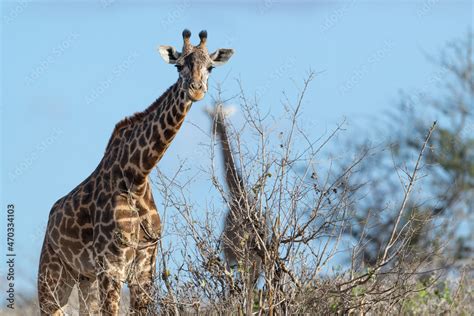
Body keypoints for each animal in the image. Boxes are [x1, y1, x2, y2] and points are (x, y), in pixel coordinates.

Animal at [38, 30, 234, 316]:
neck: (137, 176)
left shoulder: (144, 269)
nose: (196, 89)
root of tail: (51, 217)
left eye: (210, 67)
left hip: (84, 278)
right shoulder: (111, 266)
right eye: (178, 66)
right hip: (52, 275)